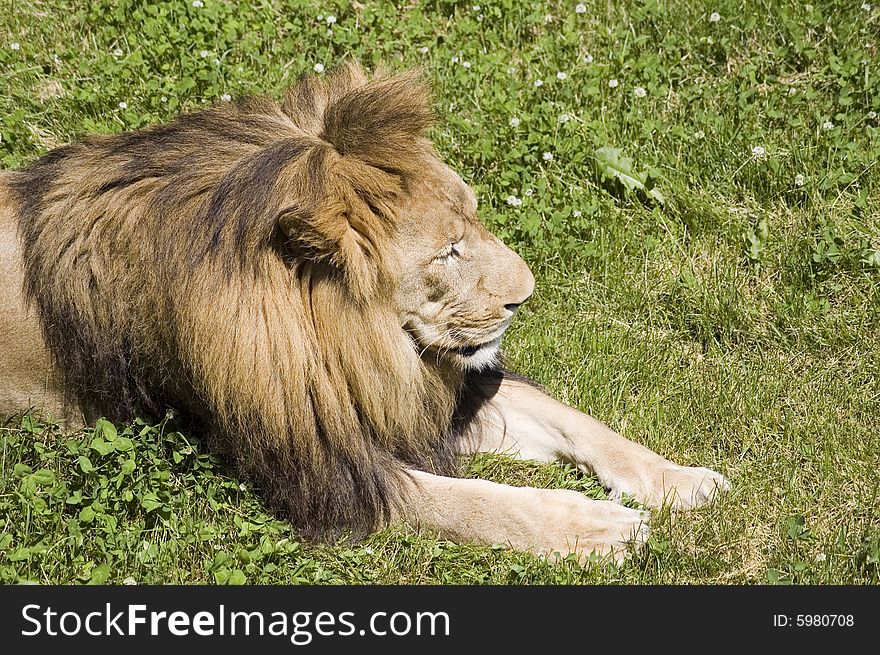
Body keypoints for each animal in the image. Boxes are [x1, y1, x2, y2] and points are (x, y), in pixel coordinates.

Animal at [0, 62, 728, 564]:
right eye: (447, 250)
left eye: (475, 220)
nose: (524, 295)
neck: (364, 342)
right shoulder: (322, 471)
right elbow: (474, 502)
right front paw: (593, 525)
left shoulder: (431, 395)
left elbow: (580, 422)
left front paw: (679, 479)